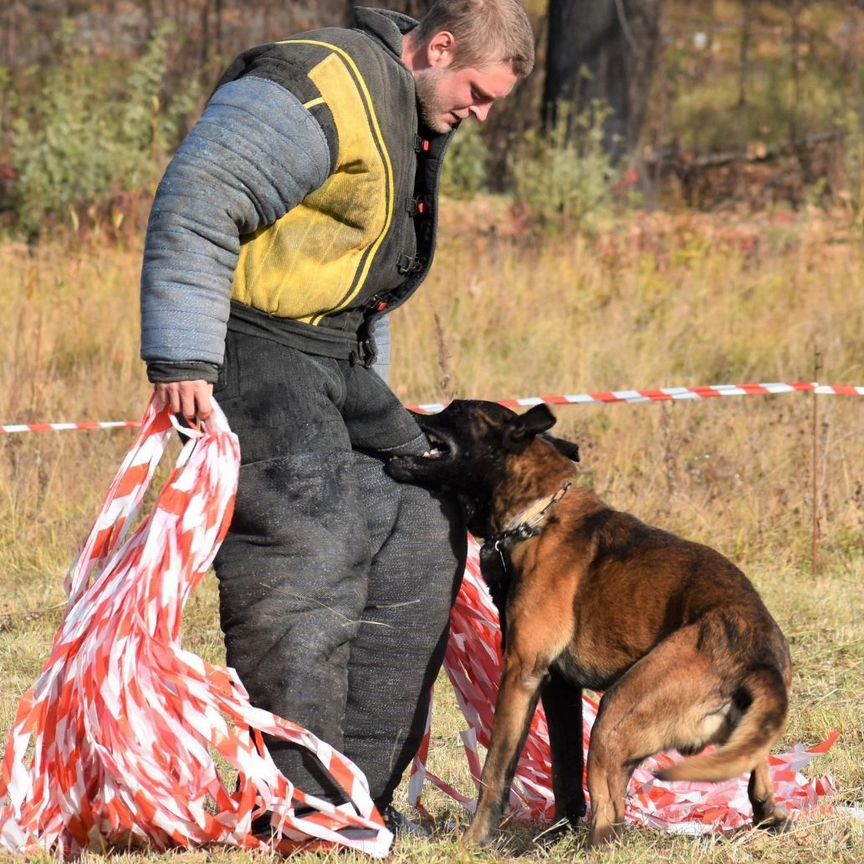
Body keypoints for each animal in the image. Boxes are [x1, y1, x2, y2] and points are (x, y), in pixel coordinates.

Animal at [388, 402, 792, 848]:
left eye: (455, 409)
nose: (405, 410)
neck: (537, 515)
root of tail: (758, 658)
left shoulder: (521, 673)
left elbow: (496, 770)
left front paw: (477, 839)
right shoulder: (559, 688)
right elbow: (564, 770)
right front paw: (557, 831)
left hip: (613, 720)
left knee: (610, 818)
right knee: (756, 775)